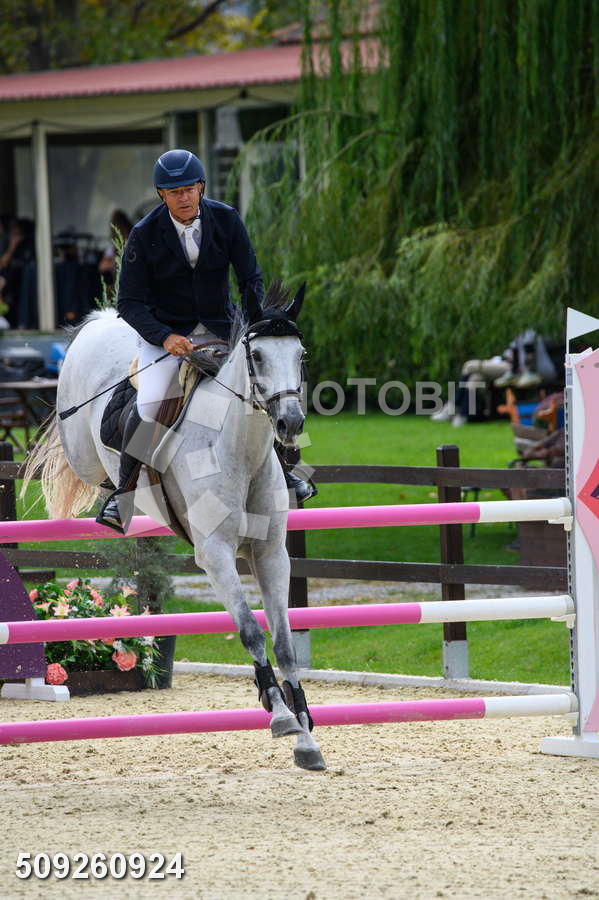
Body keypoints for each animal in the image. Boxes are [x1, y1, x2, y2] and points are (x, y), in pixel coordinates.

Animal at [23, 283, 326, 771]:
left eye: (300, 354)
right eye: (257, 355)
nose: (290, 423)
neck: (239, 449)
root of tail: (102, 321)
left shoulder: (270, 554)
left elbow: (282, 641)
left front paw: (305, 735)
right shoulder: (216, 554)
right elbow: (249, 629)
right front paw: (280, 715)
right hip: (82, 448)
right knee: (76, 457)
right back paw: (113, 497)